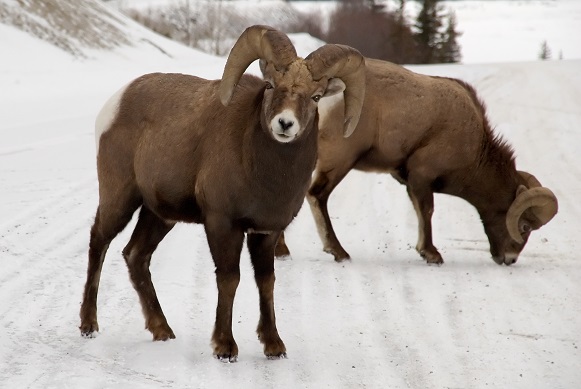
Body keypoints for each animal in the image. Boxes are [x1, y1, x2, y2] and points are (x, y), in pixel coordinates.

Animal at [79, 25, 364, 360]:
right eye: (271, 85)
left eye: (316, 96)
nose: (285, 124)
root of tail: (116, 102)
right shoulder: (223, 224)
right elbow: (230, 279)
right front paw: (225, 347)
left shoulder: (266, 232)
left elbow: (266, 282)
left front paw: (274, 346)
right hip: (120, 198)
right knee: (99, 242)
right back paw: (89, 325)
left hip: (159, 215)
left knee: (136, 256)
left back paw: (163, 331)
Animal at [276, 58, 556, 264]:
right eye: (525, 226)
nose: (509, 259)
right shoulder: (423, 175)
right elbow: (427, 211)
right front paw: (431, 254)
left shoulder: (410, 180)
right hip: (340, 161)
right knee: (317, 195)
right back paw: (338, 252)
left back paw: (282, 251)